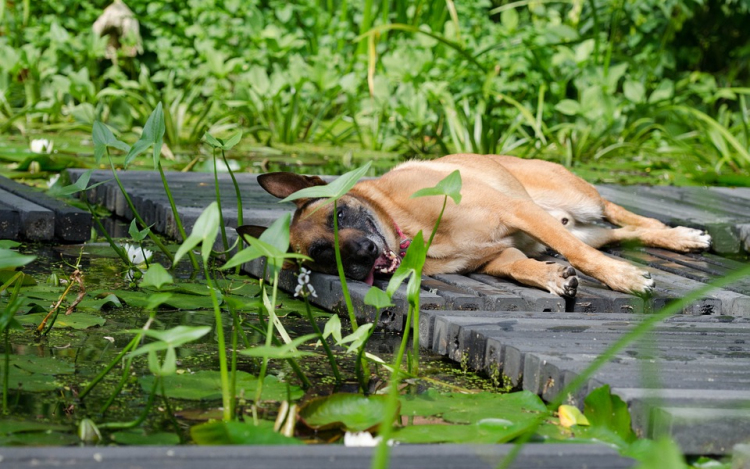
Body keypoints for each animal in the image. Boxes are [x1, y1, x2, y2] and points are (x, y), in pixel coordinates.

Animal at [239, 154, 712, 296]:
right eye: (321, 255)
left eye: (338, 216)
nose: (362, 256)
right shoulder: (494, 256)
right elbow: (519, 266)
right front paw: (550, 277)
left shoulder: (517, 212)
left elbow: (582, 257)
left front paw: (623, 278)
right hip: (582, 225)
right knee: (619, 233)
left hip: (581, 201)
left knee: (621, 215)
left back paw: (681, 235)